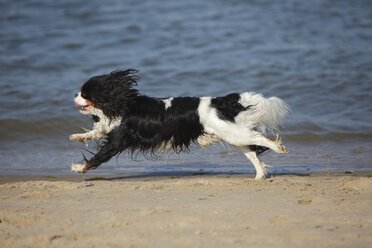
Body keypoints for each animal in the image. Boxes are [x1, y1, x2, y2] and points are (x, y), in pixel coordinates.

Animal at [70, 69, 290, 179]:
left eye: (85, 94)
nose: (74, 95)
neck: (121, 103)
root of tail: (220, 101)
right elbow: (95, 132)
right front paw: (77, 137)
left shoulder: (117, 141)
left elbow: (98, 157)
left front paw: (79, 168)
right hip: (232, 134)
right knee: (252, 152)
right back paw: (260, 175)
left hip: (234, 134)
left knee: (259, 138)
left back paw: (278, 149)